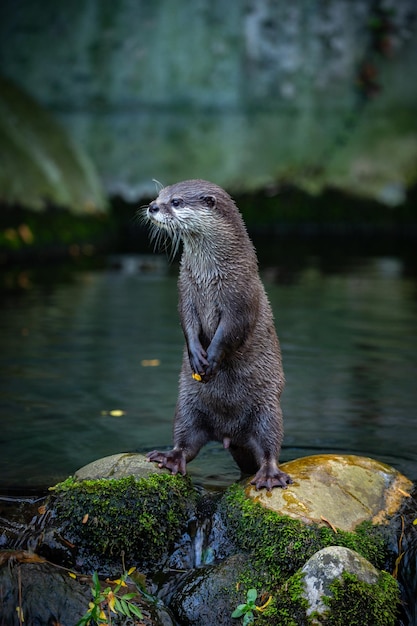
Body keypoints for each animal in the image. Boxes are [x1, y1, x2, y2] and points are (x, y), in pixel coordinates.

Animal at [145, 178, 290, 490]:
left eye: (176, 201)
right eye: (159, 195)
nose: (151, 207)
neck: (209, 277)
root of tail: (230, 434)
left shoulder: (241, 295)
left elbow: (231, 330)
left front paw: (210, 358)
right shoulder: (186, 289)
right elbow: (187, 322)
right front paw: (196, 355)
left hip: (268, 409)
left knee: (269, 445)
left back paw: (269, 475)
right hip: (187, 406)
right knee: (186, 442)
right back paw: (169, 458)